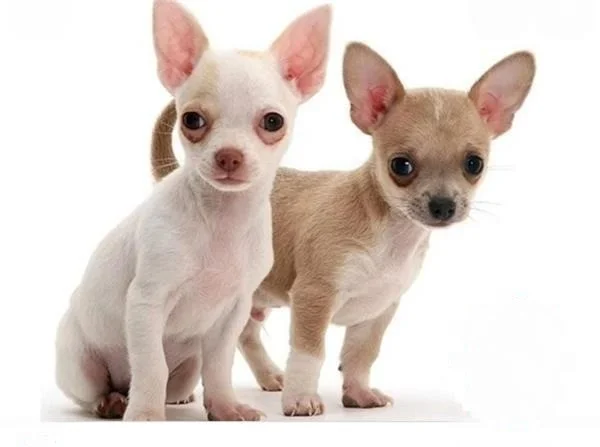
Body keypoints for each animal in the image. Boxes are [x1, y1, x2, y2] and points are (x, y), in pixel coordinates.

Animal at [55, 0, 332, 421]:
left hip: (188, 366)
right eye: (192, 120)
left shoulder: (232, 313)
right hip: (79, 363)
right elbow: (151, 364)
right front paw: (145, 415)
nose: (229, 155)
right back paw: (115, 401)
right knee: (95, 391)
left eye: (273, 122)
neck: (222, 220)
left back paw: (177, 398)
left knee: (180, 381)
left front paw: (226, 408)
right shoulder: (146, 304)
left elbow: (219, 366)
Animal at [151, 42, 535, 416]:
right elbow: (309, 354)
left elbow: (360, 355)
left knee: (246, 334)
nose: (443, 206)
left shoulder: (377, 311)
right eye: (401, 165)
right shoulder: (313, 297)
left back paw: (269, 375)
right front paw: (301, 399)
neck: (390, 237)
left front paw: (358, 393)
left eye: (474, 164)